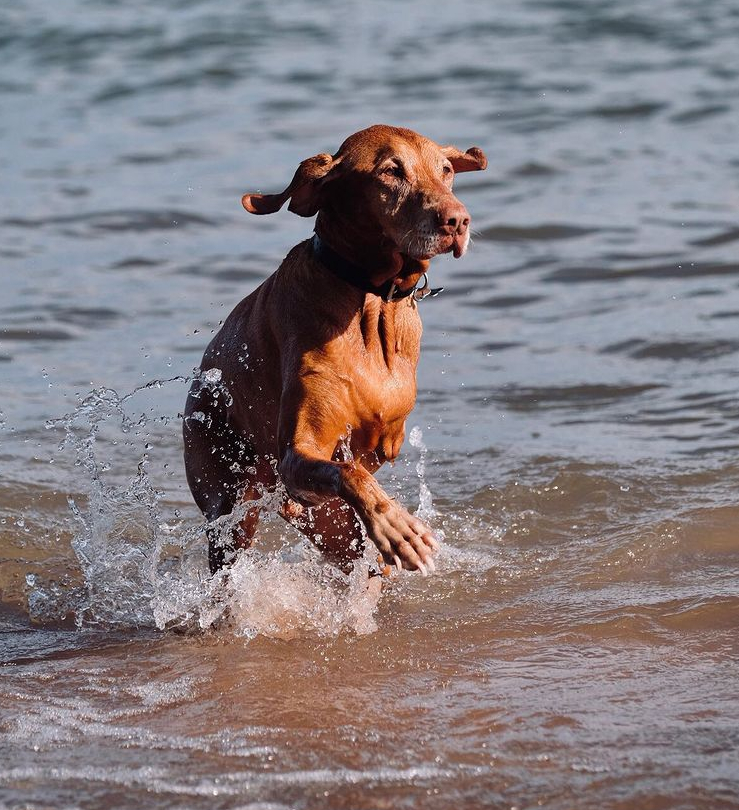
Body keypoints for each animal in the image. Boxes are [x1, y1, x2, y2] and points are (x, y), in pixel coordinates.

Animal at [183, 124, 488, 576]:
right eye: (391, 171)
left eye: (446, 170)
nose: (458, 220)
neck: (371, 299)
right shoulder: (297, 453)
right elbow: (349, 472)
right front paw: (397, 527)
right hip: (226, 498)